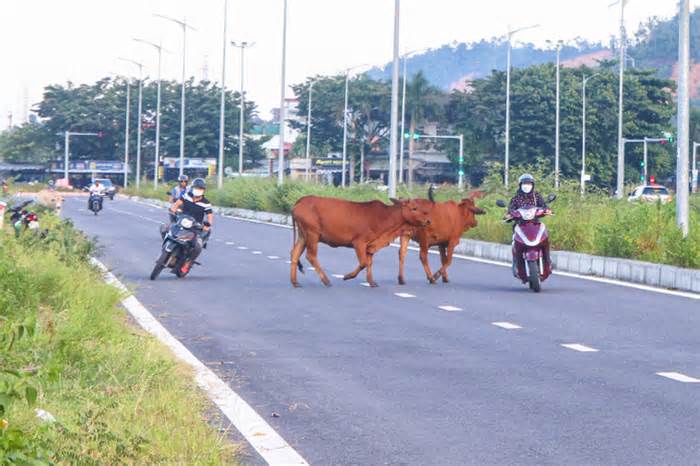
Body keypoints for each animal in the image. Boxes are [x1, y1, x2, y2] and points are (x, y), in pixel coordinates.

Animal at [290, 194, 432, 288]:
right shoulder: (359, 243)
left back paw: (295, 282)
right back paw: (325, 280)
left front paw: (372, 282)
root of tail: (300, 201)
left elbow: (369, 263)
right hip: (312, 234)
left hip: (303, 235)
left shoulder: (370, 246)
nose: (428, 221)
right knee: (311, 256)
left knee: (295, 254)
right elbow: (363, 263)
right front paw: (347, 276)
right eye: (414, 208)